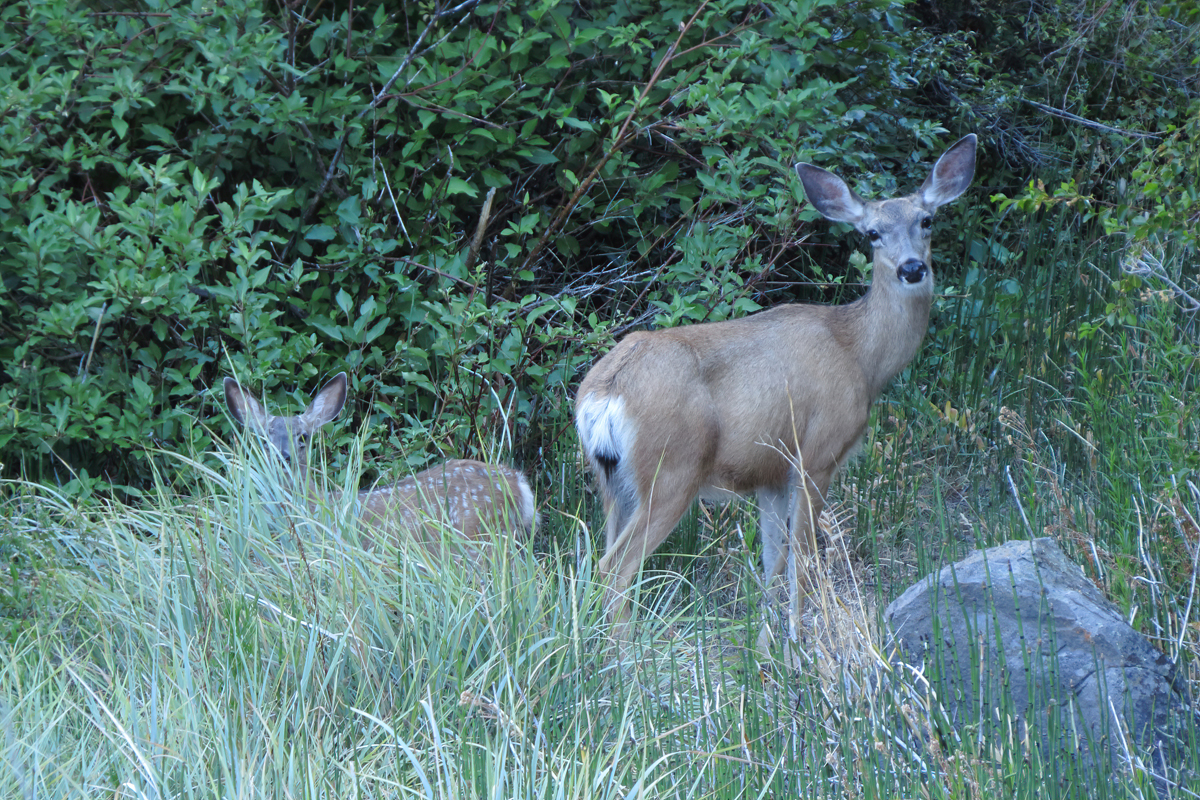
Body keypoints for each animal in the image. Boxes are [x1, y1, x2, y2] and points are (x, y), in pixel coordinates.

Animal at [575, 134, 977, 636]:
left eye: (926, 220)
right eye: (872, 233)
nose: (911, 268)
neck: (860, 355)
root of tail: (604, 392)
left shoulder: (767, 474)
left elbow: (772, 566)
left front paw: (768, 647)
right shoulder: (815, 455)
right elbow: (801, 563)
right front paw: (796, 647)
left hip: (612, 481)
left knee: (594, 566)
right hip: (671, 469)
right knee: (614, 569)